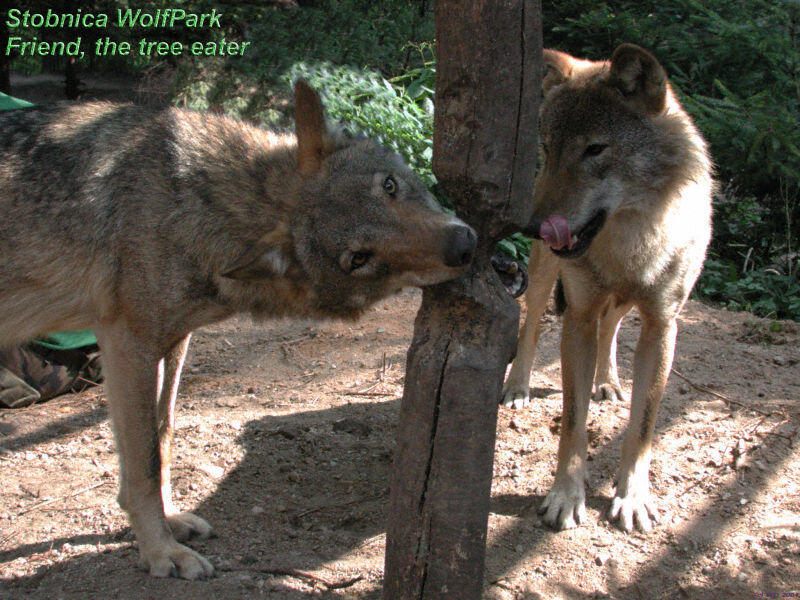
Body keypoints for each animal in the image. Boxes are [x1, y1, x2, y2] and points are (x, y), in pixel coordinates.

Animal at [0, 81, 476, 579]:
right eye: (358, 259)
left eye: (389, 186)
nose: (464, 245)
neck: (206, 205)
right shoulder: (126, 343)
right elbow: (144, 460)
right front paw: (161, 550)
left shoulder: (170, 343)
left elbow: (162, 439)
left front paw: (170, 521)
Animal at [501, 44, 713, 533]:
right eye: (548, 147)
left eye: (594, 149)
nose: (533, 227)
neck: (631, 242)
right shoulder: (577, 317)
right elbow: (573, 420)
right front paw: (565, 496)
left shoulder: (662, 325)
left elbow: (643, 426)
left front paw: (633, 498)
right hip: (543, 278)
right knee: (530, 327)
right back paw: (518, 388)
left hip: (622, 304)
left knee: (612, 328)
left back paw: (609, 383)